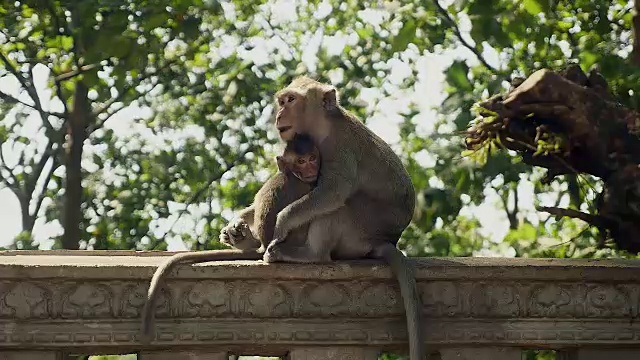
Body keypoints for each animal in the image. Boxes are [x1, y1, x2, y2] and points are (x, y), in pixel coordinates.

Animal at [264, 76, 424, 360]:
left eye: (291, 100)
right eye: (282, 101)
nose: (279, 114)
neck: (325, 124)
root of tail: (385, 241)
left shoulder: (340, 149)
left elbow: (333, 192)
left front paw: (282, 222)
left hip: (360, 229)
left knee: (340, 208)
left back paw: (308, 254)